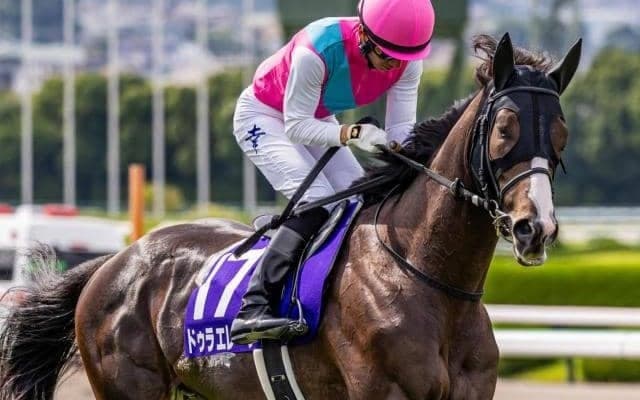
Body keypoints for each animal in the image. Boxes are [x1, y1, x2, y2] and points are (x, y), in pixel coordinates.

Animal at [0, 33, 581, 400]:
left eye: (561, 132)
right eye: (504, 128)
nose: (535, 228)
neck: (429, 278)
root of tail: (113, 262)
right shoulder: (385, 390)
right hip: (129, 386)